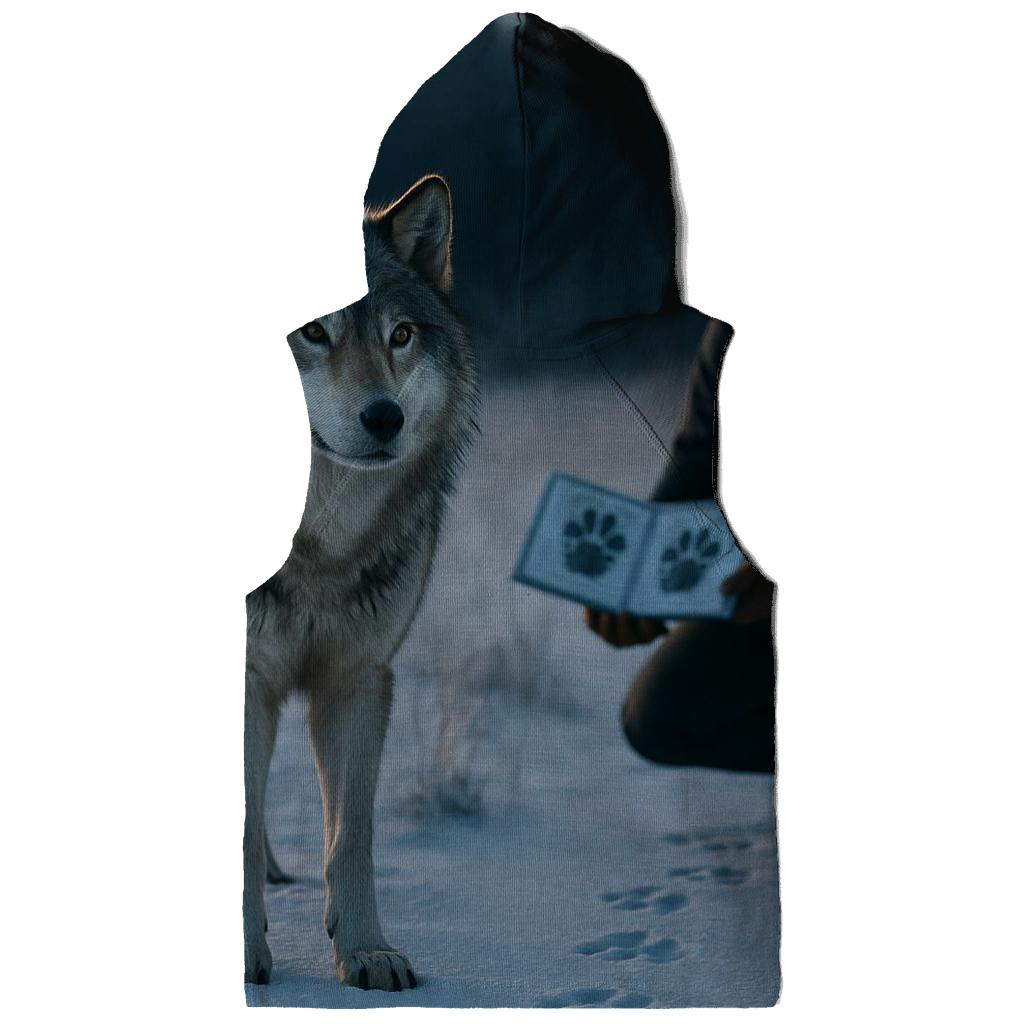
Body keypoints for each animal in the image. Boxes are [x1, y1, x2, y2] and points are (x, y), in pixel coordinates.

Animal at [243, 174, 478, 991]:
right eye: (313, 331)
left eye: (400, 335)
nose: (386, 418)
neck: (316, 551)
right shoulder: (249, 677)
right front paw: (245, 956)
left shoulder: (358, 677)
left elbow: (353, 834)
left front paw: (368, 952)